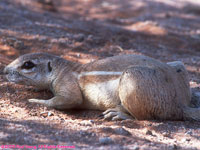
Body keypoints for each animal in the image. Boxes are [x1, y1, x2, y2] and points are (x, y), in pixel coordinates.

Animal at [3, 52, 200, 120]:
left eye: (28, 64)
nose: (4, 70)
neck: (63, 68)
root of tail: (181, 104)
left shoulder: (67, 83)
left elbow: (69, 99)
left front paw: (36, 100)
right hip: (178, 65)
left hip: (132, 77)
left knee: (144, 117)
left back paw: (120, 114)